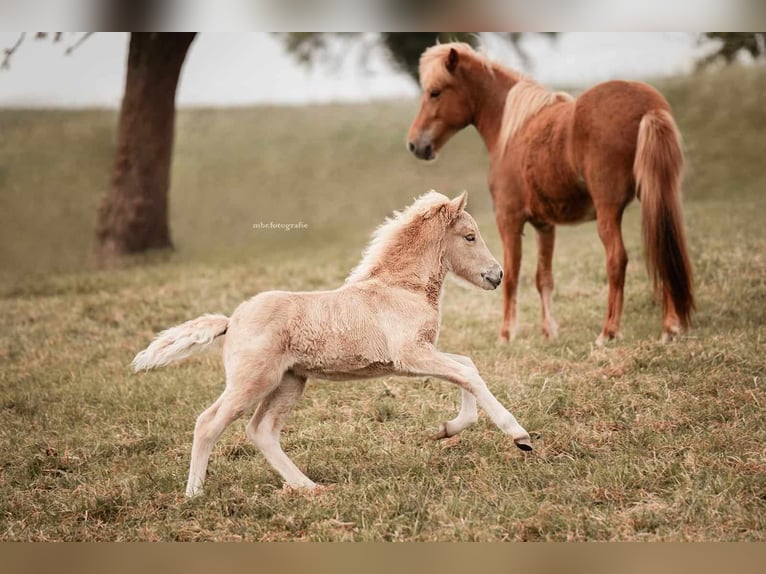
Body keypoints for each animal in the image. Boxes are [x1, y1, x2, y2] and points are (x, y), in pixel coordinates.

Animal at [408, 42, 696, 346]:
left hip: (609, 210)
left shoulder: (509, 220)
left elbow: (511, 276)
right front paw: (549, 332)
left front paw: (506, 335)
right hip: (658, 197)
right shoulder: (544, 225)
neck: (514, 130)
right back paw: (670, 327)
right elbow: (543, 278)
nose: (415, 144)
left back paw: (608, 331)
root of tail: (647, 107)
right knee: (663, 248)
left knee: (617, 259)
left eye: (435, 92)